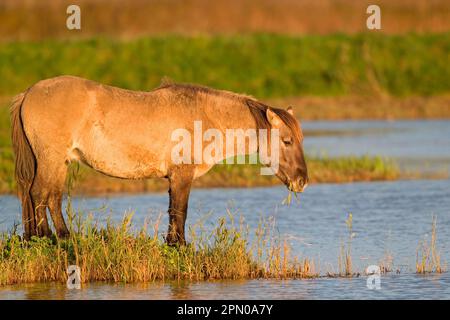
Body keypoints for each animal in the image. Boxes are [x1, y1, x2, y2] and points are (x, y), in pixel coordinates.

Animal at [10, 75, 308, 245]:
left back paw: (57, 237)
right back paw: (48, 237)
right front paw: (180, 246)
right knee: (40, 194)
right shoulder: (182, 176)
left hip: (58, 162)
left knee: (50, 196)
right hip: (50, 159)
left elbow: (173, 211)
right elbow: (180, 211)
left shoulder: (174, 178)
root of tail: (28, 93)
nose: (302, 181)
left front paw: (171, 243)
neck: (203, 117)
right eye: (287, 141)